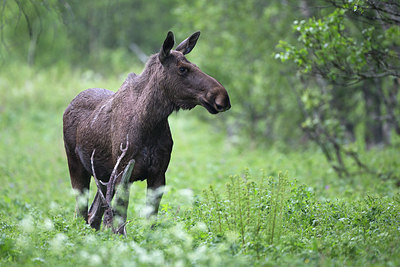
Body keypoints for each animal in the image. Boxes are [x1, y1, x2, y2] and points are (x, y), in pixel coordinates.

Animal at [62, 30, 231, 232]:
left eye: (195, 65)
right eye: (182, 69)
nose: (222, 97)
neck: (150, 122)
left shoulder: (158, 174)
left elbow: (150, 221)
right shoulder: (123, 174)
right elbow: (120, 221)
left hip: (102, 176)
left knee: (93, 215)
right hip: (76, 164)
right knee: (81, 213)